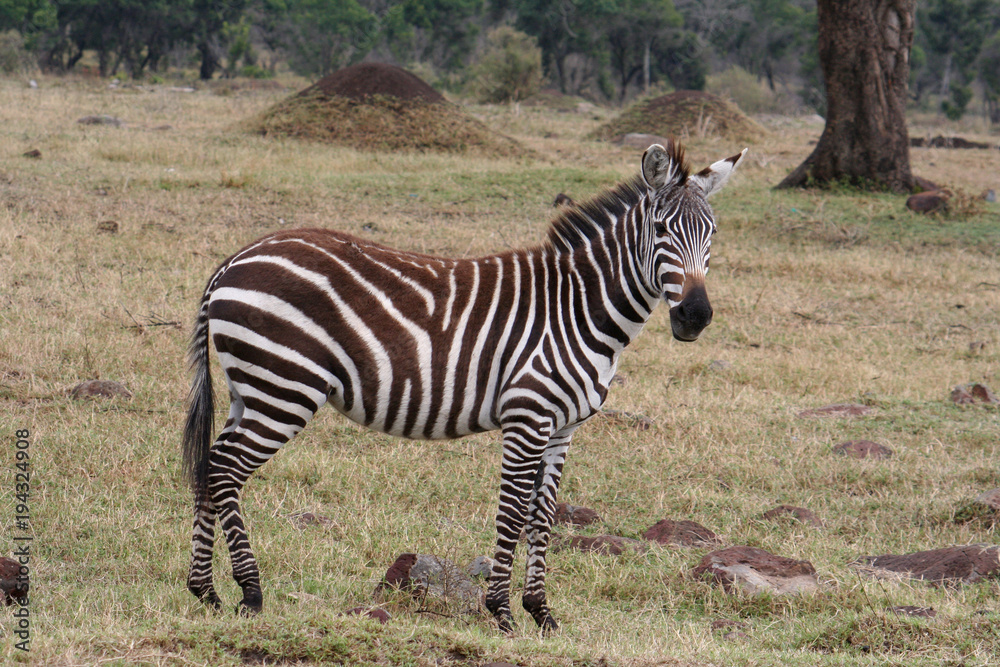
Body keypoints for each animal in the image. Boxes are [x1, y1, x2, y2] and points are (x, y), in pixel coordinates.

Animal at [182, 141, 746, 633]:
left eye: (713, 233)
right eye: (661, 229)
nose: (695, 317)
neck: (579, 309)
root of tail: (234, 260)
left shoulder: (563, 427)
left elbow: (543, 516)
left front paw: (542, 613)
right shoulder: (527, 416)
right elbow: (513, 511)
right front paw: (501, 612)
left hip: (251, 388)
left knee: (212, 463)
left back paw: (204, 590)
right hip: (285, 387)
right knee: (227, 469)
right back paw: (250, 592)